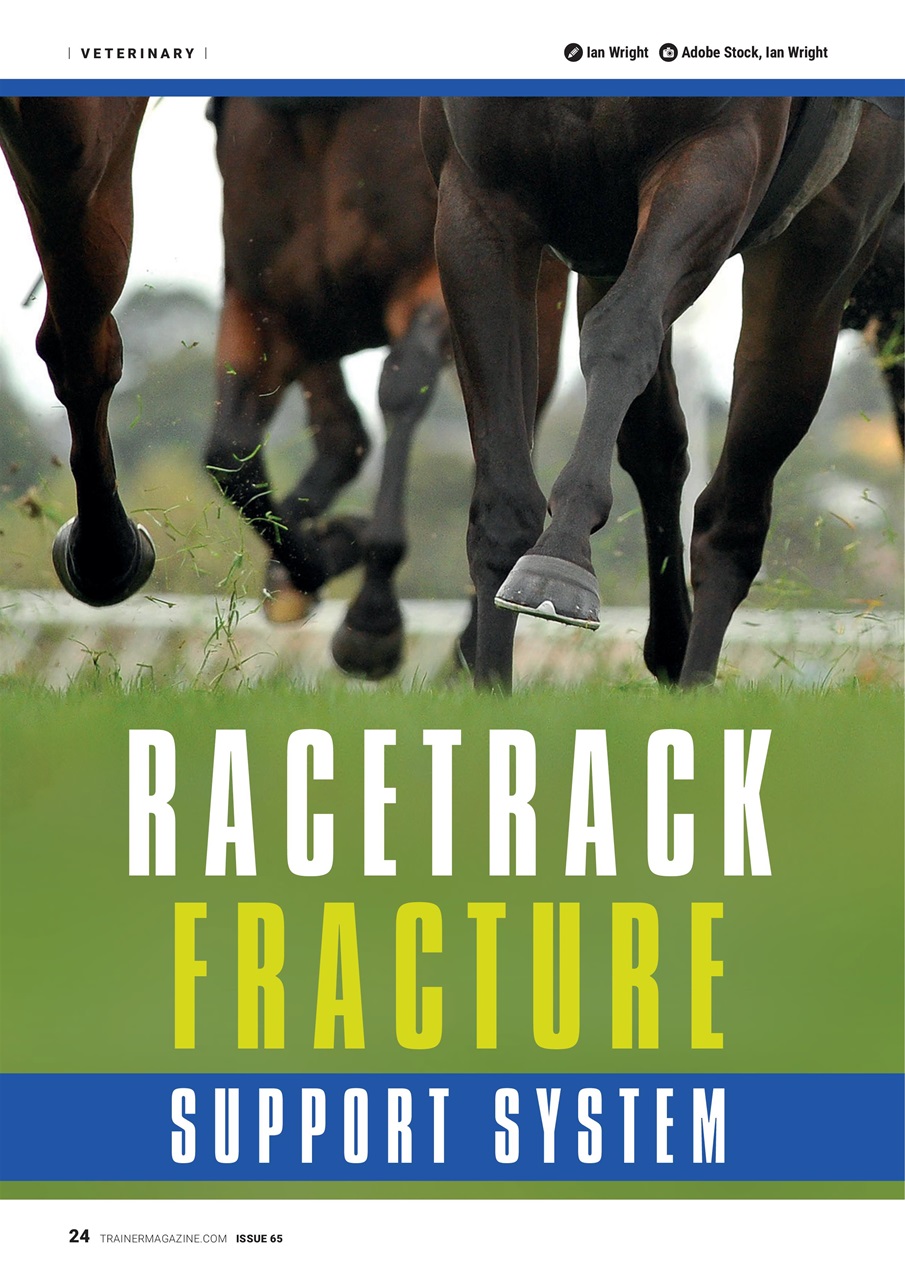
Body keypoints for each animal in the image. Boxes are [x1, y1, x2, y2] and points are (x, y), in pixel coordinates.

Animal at [206, 96, 568, 678]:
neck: (318, 110)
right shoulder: (264, 303)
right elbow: (229, 453)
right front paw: (327, 550)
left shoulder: (439, 262)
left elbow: (402, 385)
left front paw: (371, 613)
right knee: (341, 435)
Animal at [421, 96, 904, 690]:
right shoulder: (476, 199)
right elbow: (503, 498)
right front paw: (491, 689)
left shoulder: (716, 154)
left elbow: (622, 331)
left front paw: (562, 562)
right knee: (658, 449)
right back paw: (673, 649)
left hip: (820, 252)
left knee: (734, 514)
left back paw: (695, 680)